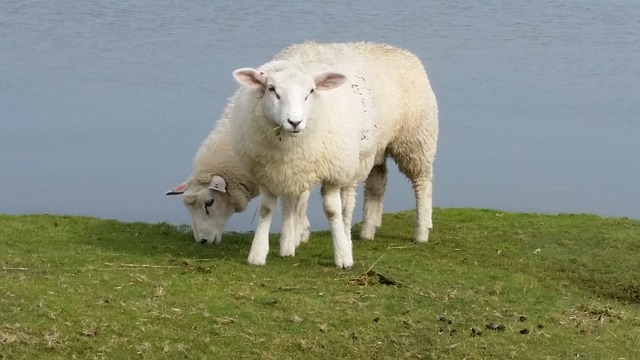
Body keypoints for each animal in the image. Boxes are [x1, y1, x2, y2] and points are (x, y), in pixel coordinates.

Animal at [228, 41, 438, 268]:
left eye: (311, 91)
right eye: (271, 89)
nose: (294, 122)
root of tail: (398, 50)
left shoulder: (334, 173)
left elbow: (332, 211)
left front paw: (343, 256)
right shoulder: (272, 171)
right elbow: (268, 209)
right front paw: (261, 254)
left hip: (415, 140)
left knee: (422, 182)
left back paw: (421, 231)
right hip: (373, 149)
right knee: (376, 182)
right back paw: (368, 229)